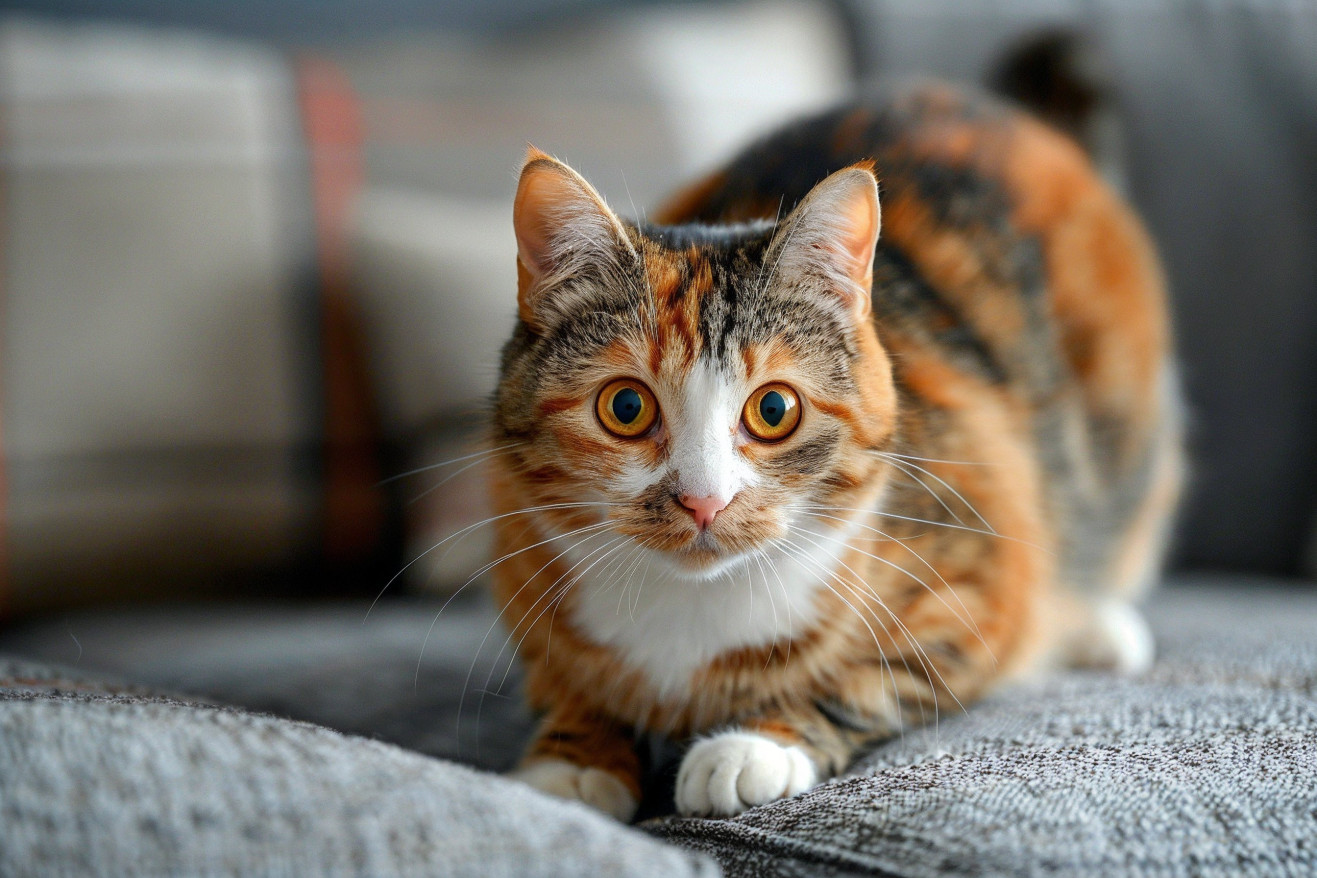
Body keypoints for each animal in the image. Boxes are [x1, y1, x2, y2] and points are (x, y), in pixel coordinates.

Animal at [487, 78, 1185, 821]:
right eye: (626, 408)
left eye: (773, 410)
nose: (703, 501)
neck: (690, 614)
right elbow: (564, 682)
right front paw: (575, 760)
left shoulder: (973, 572)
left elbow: (870, 681)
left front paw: (756, 745)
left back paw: (1096, 628)